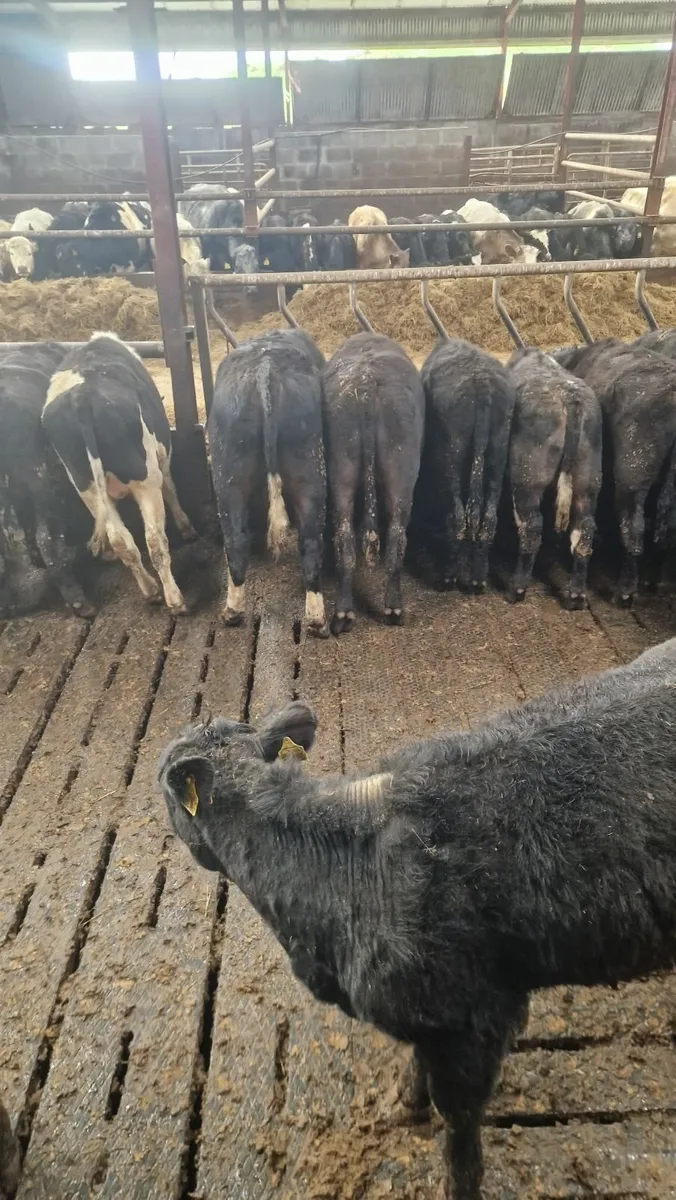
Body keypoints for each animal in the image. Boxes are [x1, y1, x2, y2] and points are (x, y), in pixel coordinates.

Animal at [41, 332, 195, 613]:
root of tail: (81, 396)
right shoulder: (161, 455)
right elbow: (171, 487)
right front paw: (186, 527)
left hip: (85, 487)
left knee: (121, 541)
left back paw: (150, 590)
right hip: (145, 479)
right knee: (154, 540)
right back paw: (174, 599)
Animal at [207, 329, 328, 636]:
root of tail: (266, 367)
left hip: (231, 476)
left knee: (237, 539)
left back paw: (233, 611)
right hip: (306, 467)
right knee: (310, 540)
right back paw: (315, 619)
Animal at [322, 333, 424, 632]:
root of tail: (366, 384)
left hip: (342, 470)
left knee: (345, 539)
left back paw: (343, 613)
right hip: (402, 474)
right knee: (397, 536)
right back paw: (393, 609)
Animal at [412, 339, 515, 592]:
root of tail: (482, 381)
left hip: (454, 454)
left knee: (458, 518)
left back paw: (449, 576)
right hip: (498, 453)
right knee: (488, 520)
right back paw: (478, 579)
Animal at [506, 347, 602, 607]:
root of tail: (569, 397)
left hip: (527, 480)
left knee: (531, 527)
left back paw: (517, 590)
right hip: (587, 483)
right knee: (585, 529)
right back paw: (576, 595)